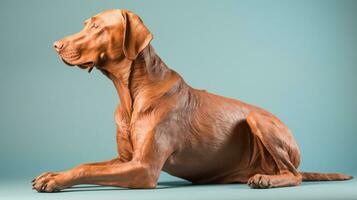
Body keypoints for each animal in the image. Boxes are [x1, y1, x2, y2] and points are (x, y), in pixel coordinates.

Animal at [32, 9, 352, 192]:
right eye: (86, 24)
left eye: (97, 27)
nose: (55, 45)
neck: (130, 95)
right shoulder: (125, 159)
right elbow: (87, 163)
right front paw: (52, 173)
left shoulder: (144, 168)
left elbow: (87, 169)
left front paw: (54, 181)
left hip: (256, 119)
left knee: (295, 175)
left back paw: (268, 179)